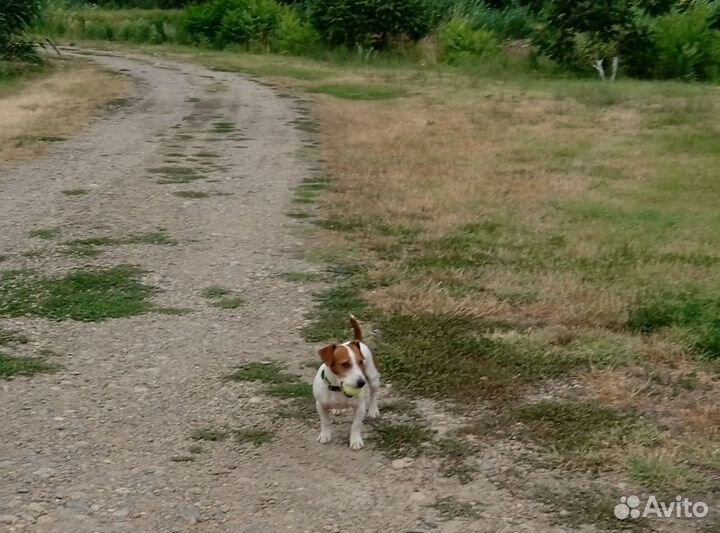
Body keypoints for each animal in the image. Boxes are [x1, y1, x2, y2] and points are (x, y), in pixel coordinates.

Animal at [312, 316, 380, 448]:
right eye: (345, 364)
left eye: (360, 362)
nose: (361, 383)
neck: (338, 388)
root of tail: (356, 339)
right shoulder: (320, 405)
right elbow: (325, 421)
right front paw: (325, 435)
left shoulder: (360, 407)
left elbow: (356, 425)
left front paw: (355, 440)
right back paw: (338, 409)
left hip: (373, 377)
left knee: (374, 393)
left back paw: (373, 409)